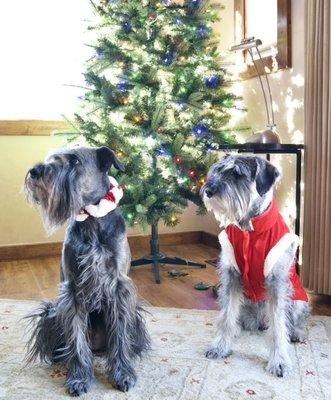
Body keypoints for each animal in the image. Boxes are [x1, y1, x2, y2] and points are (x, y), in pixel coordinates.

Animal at [24, 145, 150, 396]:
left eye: (74, 161)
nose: (35, 171)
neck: (93, 220)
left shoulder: (119, 288)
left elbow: (119, 335)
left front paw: (123, 374)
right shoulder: (72, 290)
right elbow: (76, 337)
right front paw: (79, 377)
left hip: (135, 318)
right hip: (51, 314)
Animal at [201, 154, 310, 378]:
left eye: (237, 174)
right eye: (217, 170)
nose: (208, 190)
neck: (249, 229)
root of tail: (258, 322)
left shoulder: (277, 283)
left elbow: (278, 325)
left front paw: (279, 361)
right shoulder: (231, 277)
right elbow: (226, 316)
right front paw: (219, 347)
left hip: (298, 298)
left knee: (291, 320)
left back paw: (295, 333)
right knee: (237, 317)